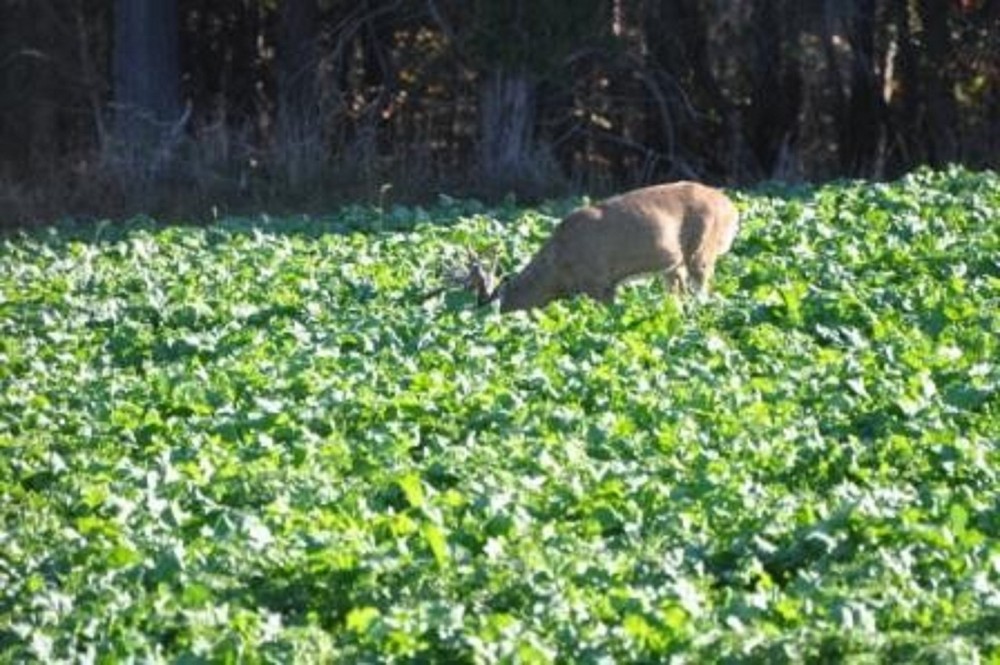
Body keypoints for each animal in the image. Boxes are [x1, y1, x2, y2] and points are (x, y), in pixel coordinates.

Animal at [455, 181, 740, 312]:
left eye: (495, 310)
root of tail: (731, 208)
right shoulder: (605, 285)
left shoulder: (598, 281)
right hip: (673, 266)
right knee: (679, 296)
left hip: (701, 251)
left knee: (702, 292)